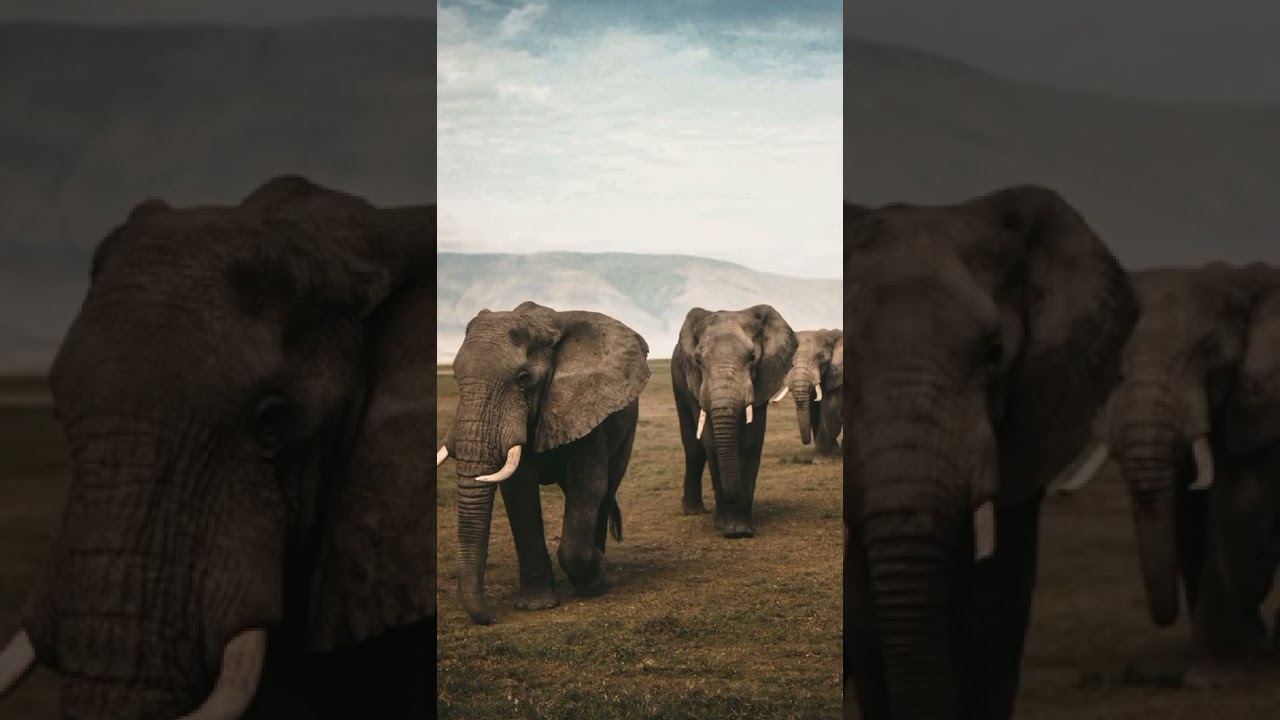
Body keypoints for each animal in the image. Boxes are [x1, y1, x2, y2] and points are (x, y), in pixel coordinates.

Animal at [435, 302, 651, 625]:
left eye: (523, 379)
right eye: (456, 377)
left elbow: (588, 485)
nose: (490, 617)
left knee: (606, 490)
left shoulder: (584, 404)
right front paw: (535, 606)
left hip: (628, 429)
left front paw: (595, 578)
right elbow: (519, 491)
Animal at [672, 305, 798, 538]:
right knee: (694, 449)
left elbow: (750, 442)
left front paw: (739, 530)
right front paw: (728, 528)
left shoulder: (762, 380)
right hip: (678, 380)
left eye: (752, 356)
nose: (734, 494)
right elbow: (711, 443)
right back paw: (693, 511)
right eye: (698, 361)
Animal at [772, 328, 844, 462]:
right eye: (790, 361)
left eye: (821, 357)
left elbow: (830, 405)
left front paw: (820, 461)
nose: (806, 441)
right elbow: (813, 409)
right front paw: (832, 453)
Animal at [1057, 263, 1280, 660]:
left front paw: (1218, 661)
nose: (1166, 618)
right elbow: (1188, 516)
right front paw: (1235, 651)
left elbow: (1241, 503)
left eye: (1212, 351)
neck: (1238, 280)